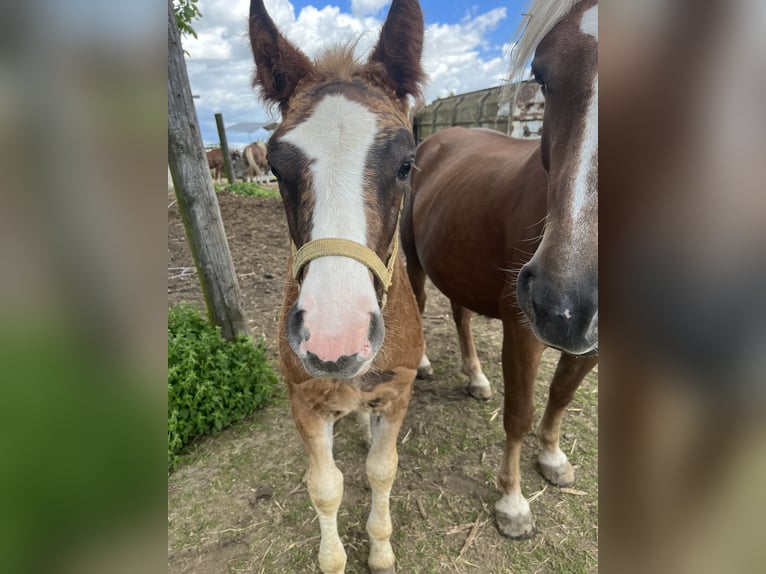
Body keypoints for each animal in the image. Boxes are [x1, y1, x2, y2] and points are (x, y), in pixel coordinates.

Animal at [249, 1, 426, 574]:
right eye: (275, 168)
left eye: (406, 164)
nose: (334, 342)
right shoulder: (304, 401)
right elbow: (325, 487)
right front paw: (335, 557)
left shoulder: (397, 393)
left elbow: (381, 469)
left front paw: (381, 550)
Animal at [402, 0, 600, 544]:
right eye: (542, 75)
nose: (565, 303)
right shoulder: (522, 331)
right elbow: (518, 415)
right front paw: (512, 502)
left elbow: (562, 393)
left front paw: (552, 457)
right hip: (413, 259)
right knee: (421, 306)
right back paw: (423, 364)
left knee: (461, 316)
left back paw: (475, 376)